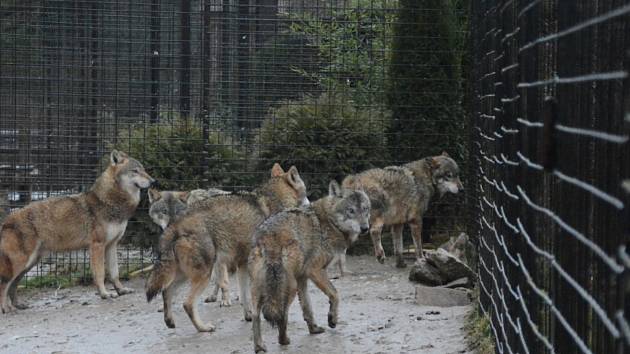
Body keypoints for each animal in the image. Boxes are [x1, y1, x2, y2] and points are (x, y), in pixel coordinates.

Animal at [0, 150, 157, 312]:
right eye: (135, 171)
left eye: (144, 169)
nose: (154, 182)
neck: (110, 201)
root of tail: (6, 220)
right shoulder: (97, 245)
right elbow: (100, 274)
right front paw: (105, 294)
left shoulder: (112, 245)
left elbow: (114, 273)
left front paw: (121, 290)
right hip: (20, 263)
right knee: (4, 284)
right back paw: (6, 308)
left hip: (29, 264)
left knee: (13, 284)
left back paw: (18, 305)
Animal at [144, 165, 312, 334]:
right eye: (306, 192)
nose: (310, 204)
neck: (273, 201)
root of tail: (174, 225)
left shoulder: (242, 264)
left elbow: (244, 294)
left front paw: (248, 315)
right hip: (204, 274)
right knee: (187, 303)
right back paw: (203, 328)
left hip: (186, 274)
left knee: (166, 291)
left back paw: (170, 321)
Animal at [249, 181, 372, 352]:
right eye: (351, 211)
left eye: (365, 209)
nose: (365, 228)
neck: (330, 222)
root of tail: (269, 236)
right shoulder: (315, 270)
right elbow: (335, 294)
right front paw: (332, 319)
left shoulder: (302, 277)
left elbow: (307, 307)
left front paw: (314, 329)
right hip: (289, 286)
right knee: (282, 314)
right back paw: (284, 340)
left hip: (261, 288)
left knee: (256, 315)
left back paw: (259, 346)